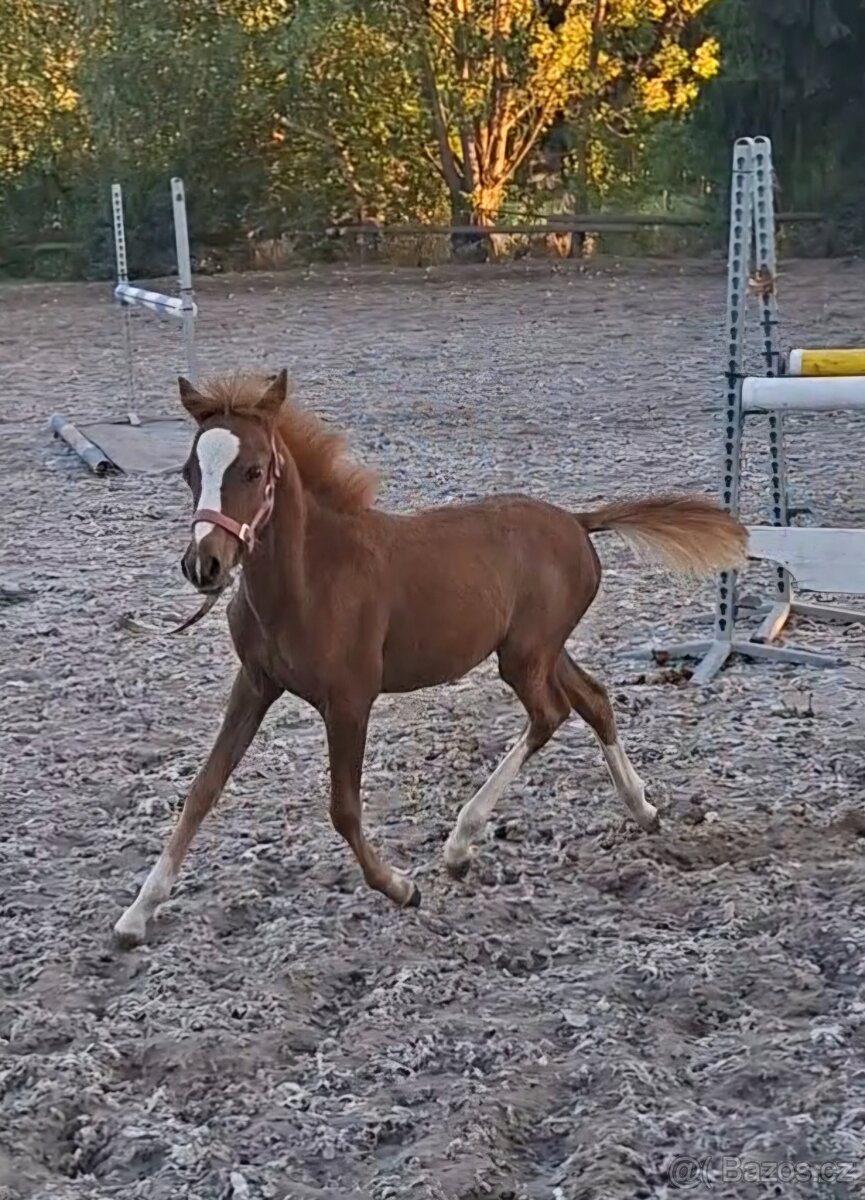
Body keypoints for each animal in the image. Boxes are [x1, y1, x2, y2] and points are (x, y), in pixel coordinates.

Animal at [114, 369, 747, 946]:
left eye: (252, 470)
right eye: (190, 472)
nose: (205, 565)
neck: (311, 578)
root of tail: (577, 520)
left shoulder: (350, 700)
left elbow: (343, 808)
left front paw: (400, 886)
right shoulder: (255, 684)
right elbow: (203, 790)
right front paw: (136, 914)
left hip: (524, 657)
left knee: (551, 714)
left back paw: (461, 843)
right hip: (540, 648)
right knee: (593, 700)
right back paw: (641, 809)